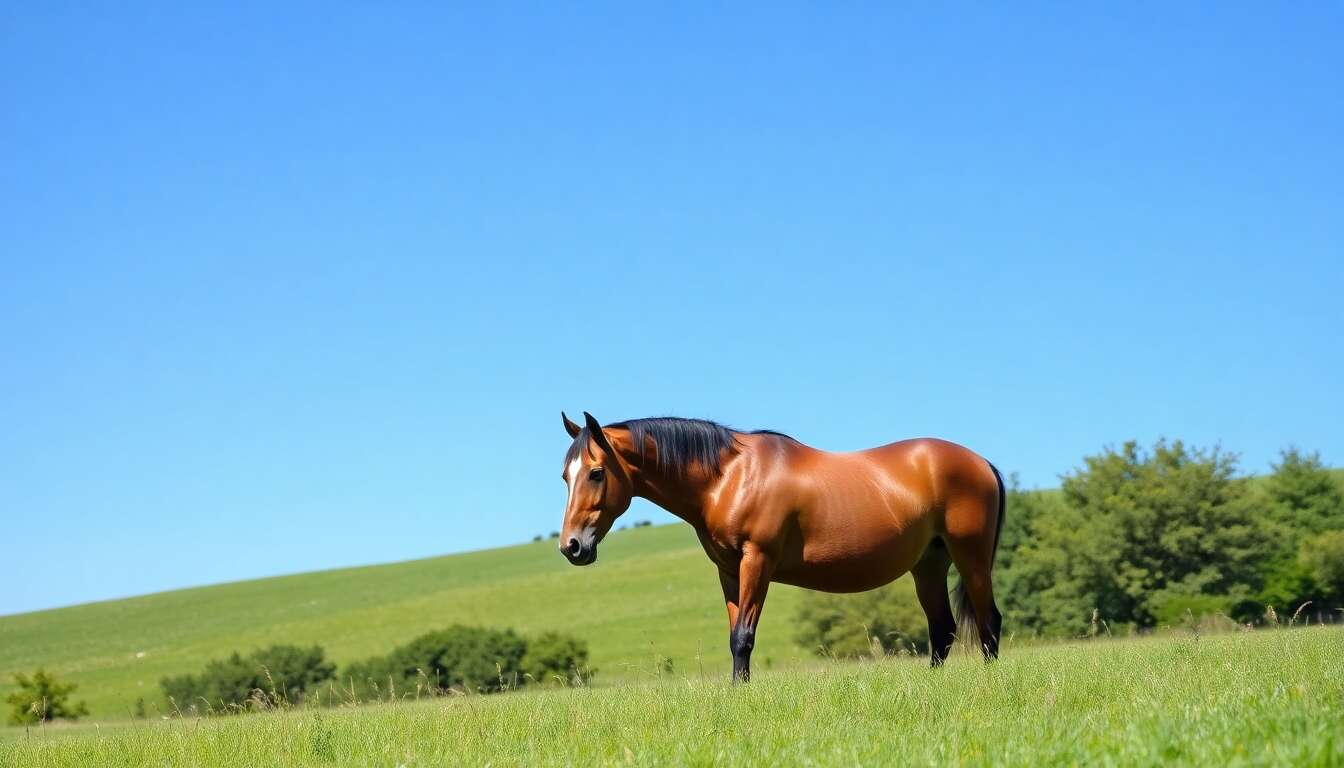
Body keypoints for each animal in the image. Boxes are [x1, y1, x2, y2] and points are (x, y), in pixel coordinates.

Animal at [557, 412, 1005, 682]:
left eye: (596, 472)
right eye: (566, 475)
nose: (571, 547)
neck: (729, 477)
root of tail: (982, 462)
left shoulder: (758, 561)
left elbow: (743, 636)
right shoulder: (728, 570)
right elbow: (734, 634)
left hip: (971, 558)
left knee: (988, 621)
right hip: (928, 563)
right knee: (943, 629)